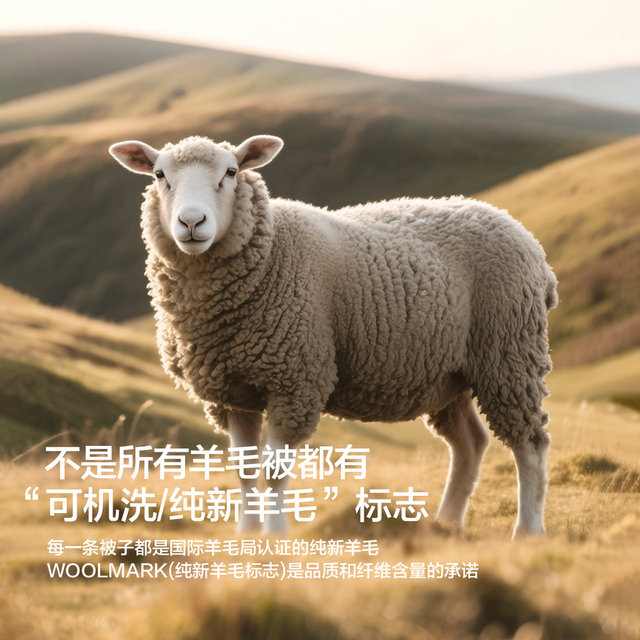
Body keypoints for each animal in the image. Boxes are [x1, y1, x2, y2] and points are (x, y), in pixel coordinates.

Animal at [109, 134, 557, 538]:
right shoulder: (233, 392)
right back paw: (446, 523)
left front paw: (275, 536)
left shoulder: (295, 380)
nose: (191, 222)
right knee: (470, 444)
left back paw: (528, 530)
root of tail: (529, 241)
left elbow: (274, 470)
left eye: (231, 172)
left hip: (508, 352)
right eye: (159, 174)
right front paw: (247, 535)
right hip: (449, 373)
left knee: (530, 443)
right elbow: (244, 469)